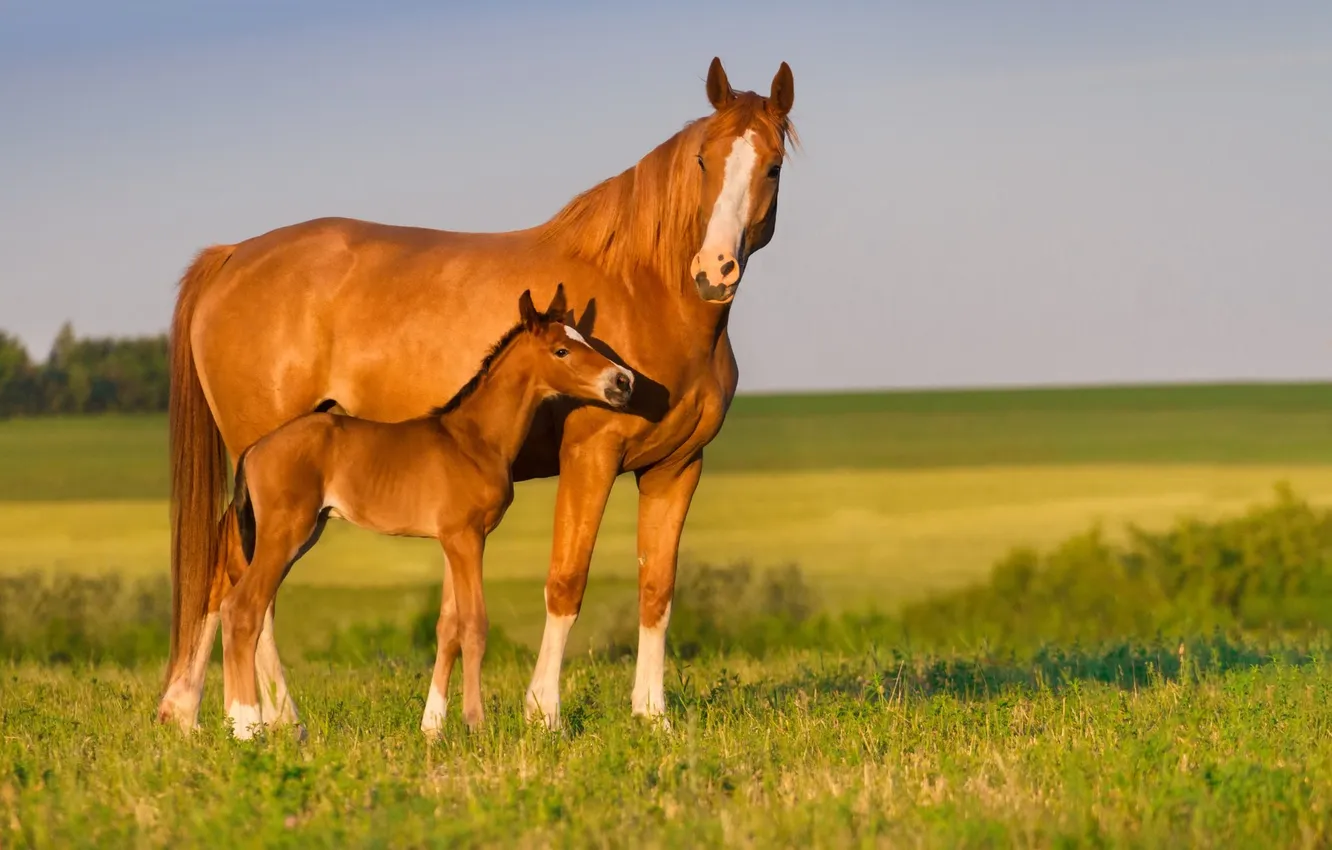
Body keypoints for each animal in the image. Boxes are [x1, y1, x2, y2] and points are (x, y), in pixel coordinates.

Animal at [221, 286, 633, 739]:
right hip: (284, 534)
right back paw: (246, 728)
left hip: (302, 534)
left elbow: (448, 625)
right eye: (561, 350)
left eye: (584, 340)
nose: (623, 382)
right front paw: (476, 724)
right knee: (242, 609)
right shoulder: (466, 538)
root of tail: (254, 450)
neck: (474, 440)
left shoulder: (456, 540)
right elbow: (474, 625)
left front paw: (434, 728)